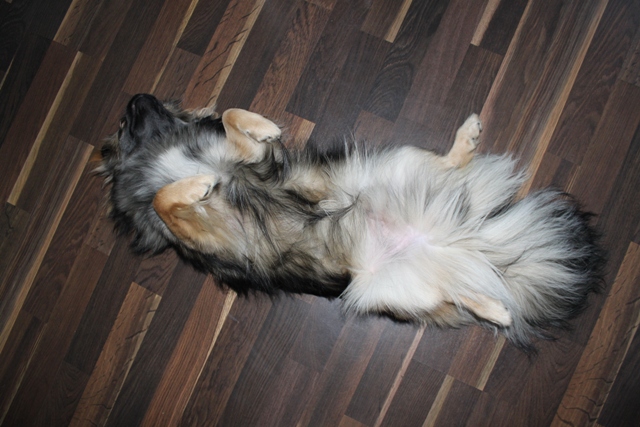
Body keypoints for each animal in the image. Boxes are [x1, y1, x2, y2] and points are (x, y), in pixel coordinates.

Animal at [97, 94, 605, 350]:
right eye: (124, 123)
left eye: (135, 114)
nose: (137, 95)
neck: (173, 158)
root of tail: (437, 240)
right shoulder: (209, 233)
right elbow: (164, 199)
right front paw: (196, 185)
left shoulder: (248, 161)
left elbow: (229, 120)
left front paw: (261, 126)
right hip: (387, 289)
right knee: (458, 293)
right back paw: (495, 308)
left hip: (398, 165)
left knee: (449, 168)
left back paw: (468, 136)